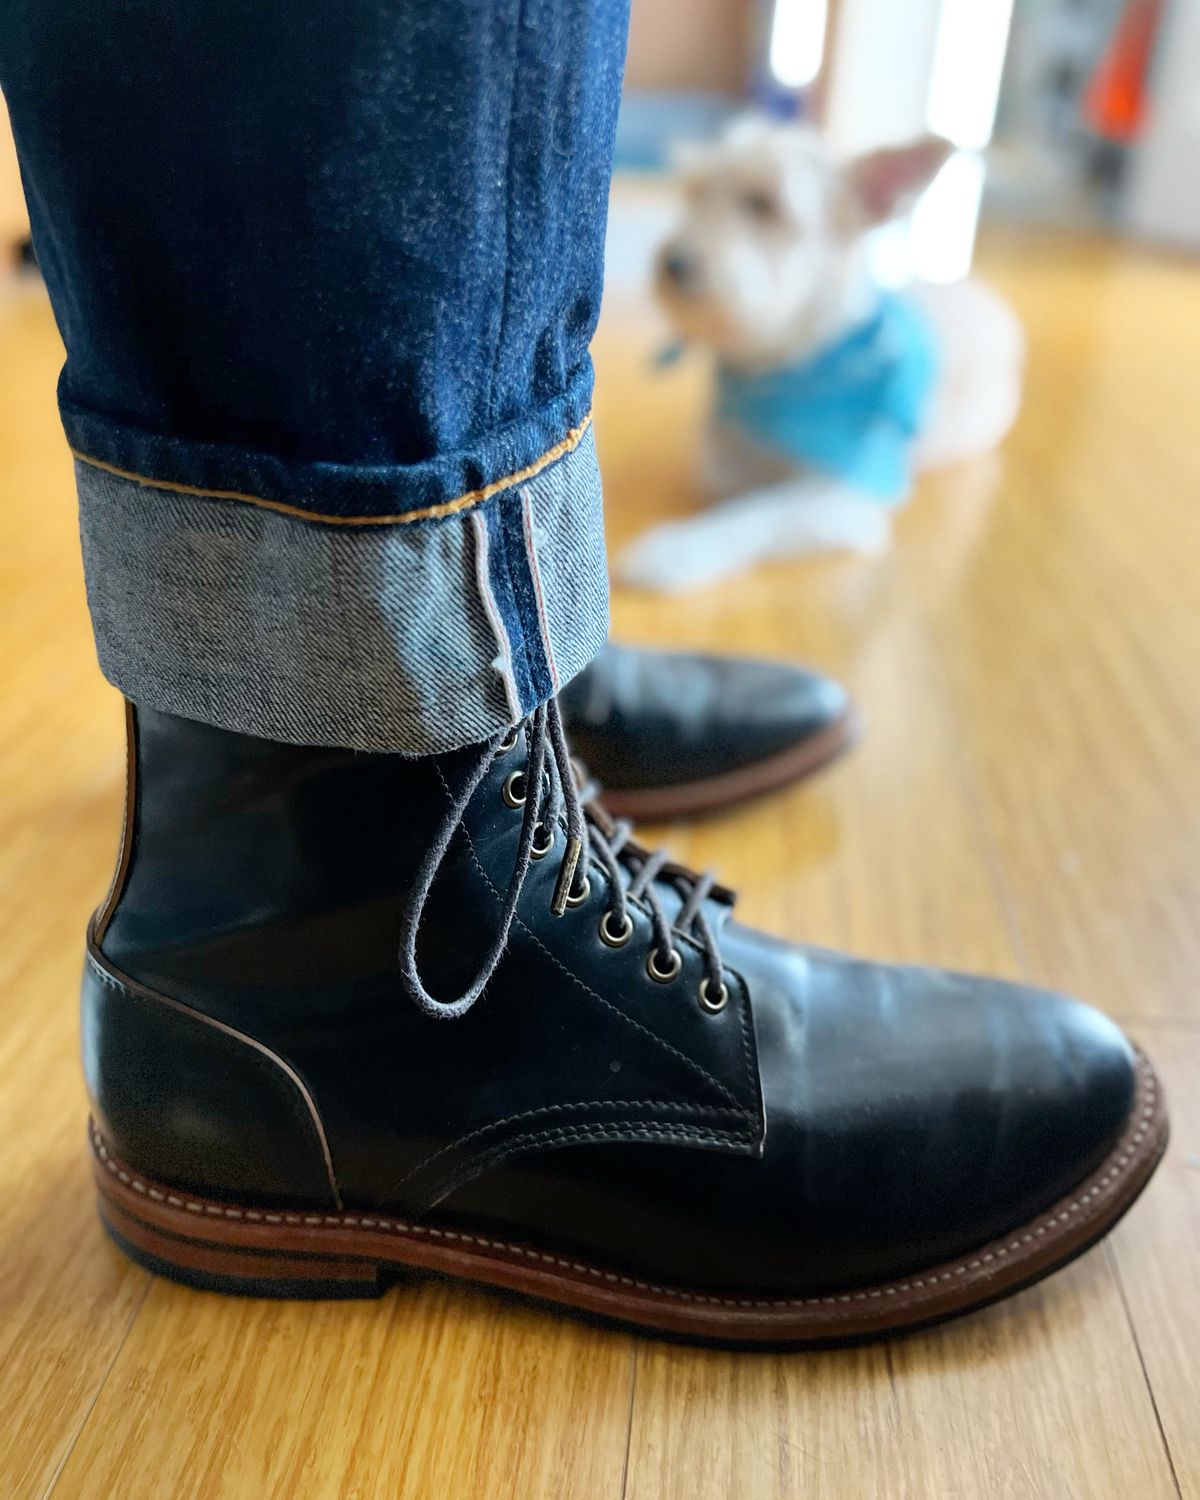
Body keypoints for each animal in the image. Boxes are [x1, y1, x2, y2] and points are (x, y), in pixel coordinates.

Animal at [618, 120, 1020, 594]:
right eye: (696, 193)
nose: (673, 263)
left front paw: (680, 548)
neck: (787, 367)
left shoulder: (845, 498)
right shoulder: (724, 455)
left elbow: (757, 513)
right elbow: (726, 473)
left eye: (762, 204)